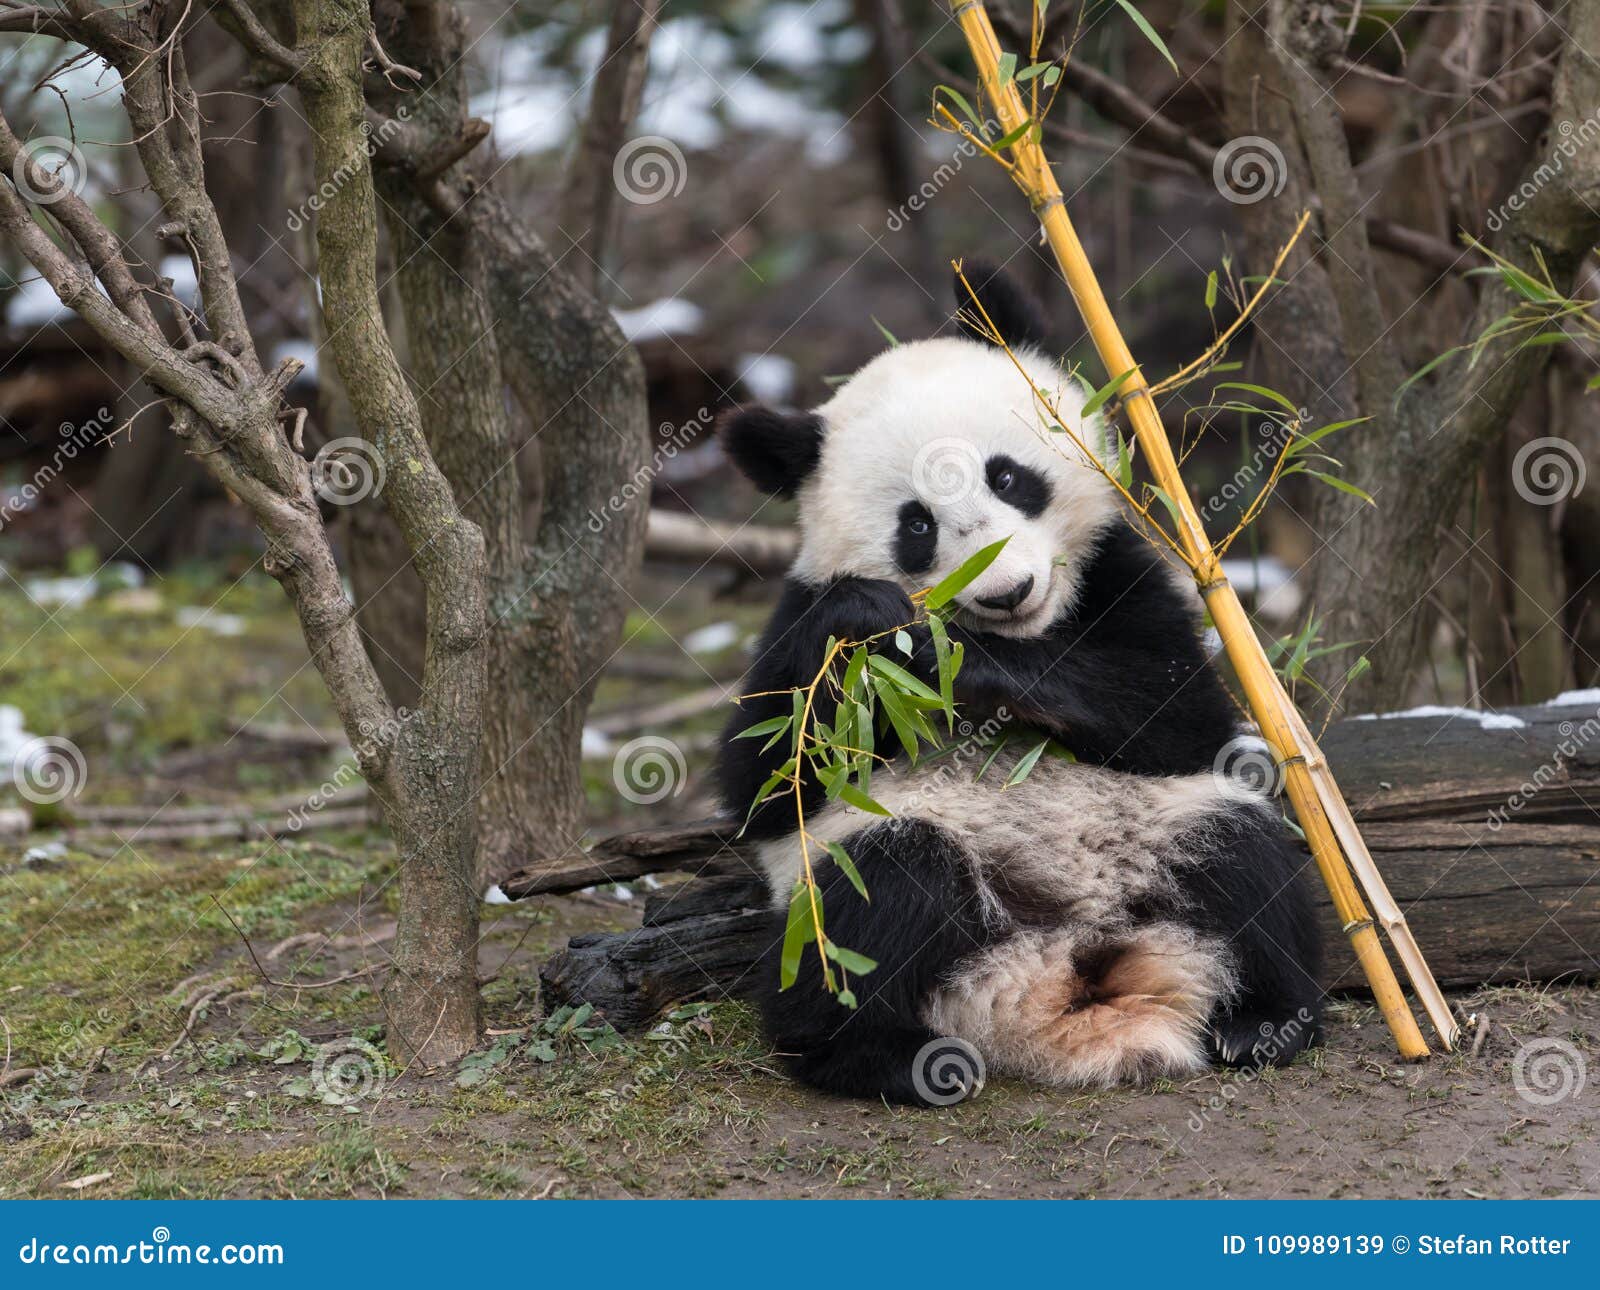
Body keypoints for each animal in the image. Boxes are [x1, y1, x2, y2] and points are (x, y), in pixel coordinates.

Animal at [720, 265, 1318, 1113]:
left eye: (1007, 476)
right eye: (916, 525)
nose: (1007, 592)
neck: (1029, 631)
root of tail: (1066, 962)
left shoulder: (1124, 572)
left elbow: (1183, 712)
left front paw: (952, 659)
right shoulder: (795, 618)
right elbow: (766, 783)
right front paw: (878, 622)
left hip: (1160, 829)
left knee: (1247, 863)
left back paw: (1262, 1023)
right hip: (888, 881)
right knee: (880, 892)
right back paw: (888, 1059)